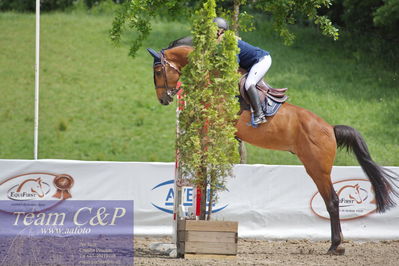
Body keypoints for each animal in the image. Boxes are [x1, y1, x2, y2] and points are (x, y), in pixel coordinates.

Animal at [147, 44, 399, 255]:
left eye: (158, 71)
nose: (163, 99)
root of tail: (330, 129)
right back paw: (336, 245)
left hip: (317, 168)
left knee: (333, 202)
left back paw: (335, 246)